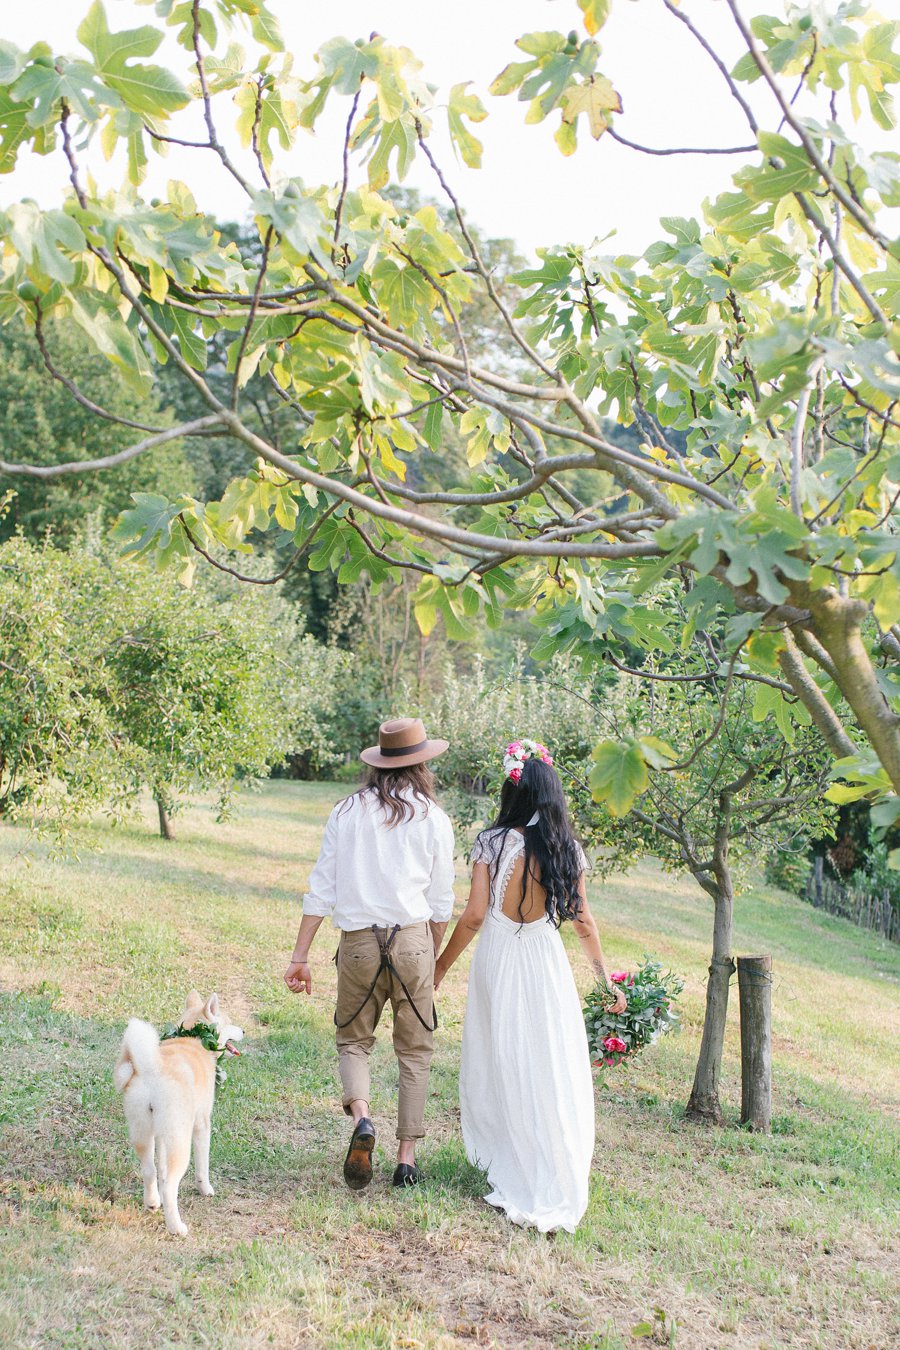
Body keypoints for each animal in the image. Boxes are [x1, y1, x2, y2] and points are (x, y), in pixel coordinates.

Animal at [114, 993, 244, 1236]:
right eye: (229, 1020)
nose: (243, 1031)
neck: (195, 1038)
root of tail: (152, 1068)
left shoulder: (161, 1135)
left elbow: (161, 1170)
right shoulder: (202, 1124)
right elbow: (203, 1167)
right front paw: (206, 1189)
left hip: (143, 1132)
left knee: (150, 1171)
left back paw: (152, 1203)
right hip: (181, 1143)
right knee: (170, 1186)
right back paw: (176, 1226)